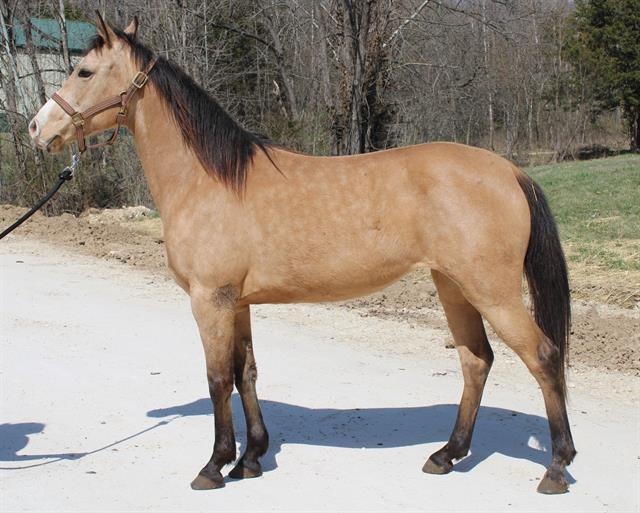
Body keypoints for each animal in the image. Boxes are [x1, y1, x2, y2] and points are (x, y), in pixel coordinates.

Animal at [28, 13, 576, 492]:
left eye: (83, 71)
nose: (37, 129)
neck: (209, 181)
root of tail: (510, 170)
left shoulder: (210, 300)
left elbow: (216, 379)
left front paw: (214, 465)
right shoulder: (238, 303)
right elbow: (245, 373)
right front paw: (250, 459)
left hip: (493, 291)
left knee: (544, 357)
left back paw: (556, 467)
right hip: (454, 287)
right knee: (476, 361)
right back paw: (446, 454)